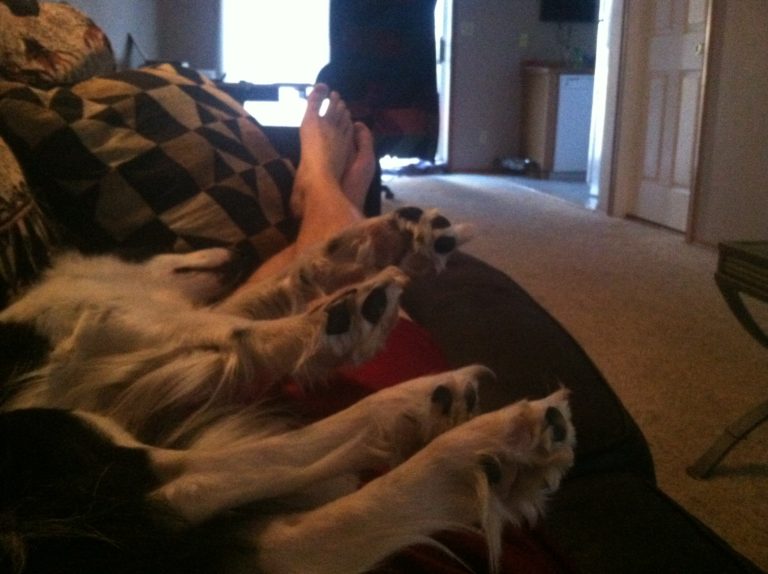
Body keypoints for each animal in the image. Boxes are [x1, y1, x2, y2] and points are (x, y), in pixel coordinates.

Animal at [0, 207, 575, 574]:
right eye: (174, 238)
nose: (238, 249)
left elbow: (266, 298)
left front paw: (364, 250)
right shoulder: (118, 335)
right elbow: (242, 331)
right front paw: (335, 322)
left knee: (299, 525)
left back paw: (486, 459)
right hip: (76, 435)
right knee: (204, 481)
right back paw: (464, 429)